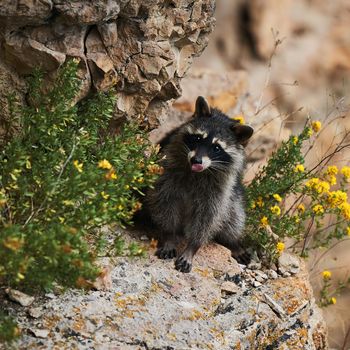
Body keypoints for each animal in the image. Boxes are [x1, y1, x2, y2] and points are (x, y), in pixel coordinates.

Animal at [144, 96, 253, 274]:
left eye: (217, 148)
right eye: (197, 138)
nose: (196, 160)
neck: (197, 173)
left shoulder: (219, 190)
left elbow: (207, 218)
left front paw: (192, 247)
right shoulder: (168, 173)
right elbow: (165, 203)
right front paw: (169, 236)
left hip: (233, 197)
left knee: (234, 215)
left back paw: (232, 242)